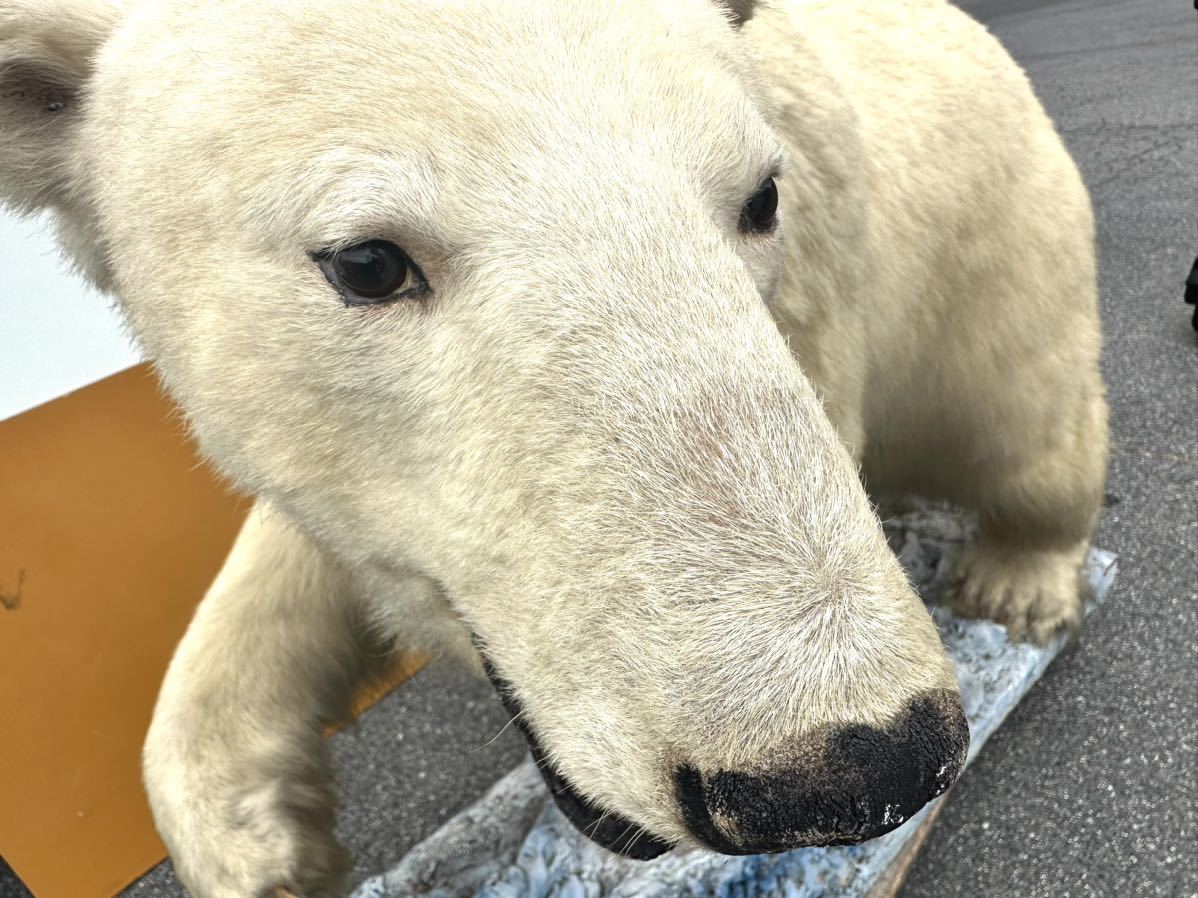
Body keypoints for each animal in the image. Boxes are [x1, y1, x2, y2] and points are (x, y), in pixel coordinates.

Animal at [0, 1, 1107, 896]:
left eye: (759, 198)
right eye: (367, 261)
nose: (852, 766)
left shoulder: (817, 305)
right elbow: (302, 548)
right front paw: (257, 835)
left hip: (998, 236)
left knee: (1025, 416)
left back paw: (1017, 579)